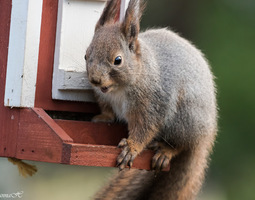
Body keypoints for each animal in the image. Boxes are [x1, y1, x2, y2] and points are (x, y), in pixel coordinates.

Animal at [85, 0, 217, 198]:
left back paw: (167, 150)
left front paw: (131, 148)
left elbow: (145, 129)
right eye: (86, 55)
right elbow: (107, 109)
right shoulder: (104, 97)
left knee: (182, 144)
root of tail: (205, 136)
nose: (95, 80)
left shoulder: (152, 104)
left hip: (183, 120)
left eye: (118, 60)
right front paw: (103, 118)